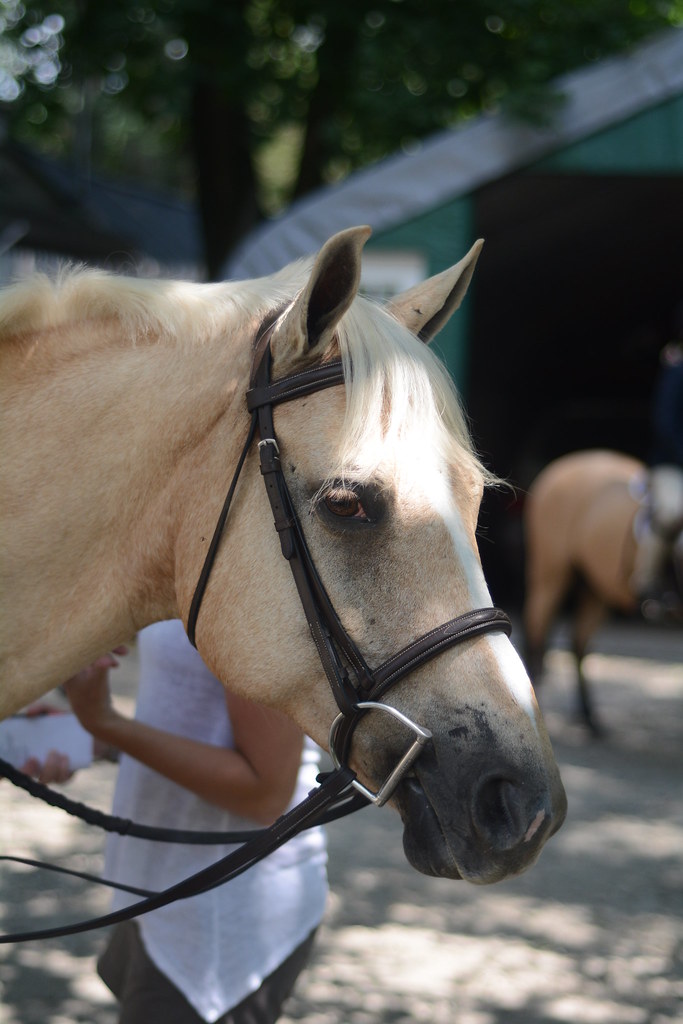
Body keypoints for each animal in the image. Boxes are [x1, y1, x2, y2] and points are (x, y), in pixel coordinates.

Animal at [523, 449, 682, 733]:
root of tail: (566, 465)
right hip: (550, 575)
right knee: (536, 632)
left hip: (594, 590)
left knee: (578, 643)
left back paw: (589, 718)